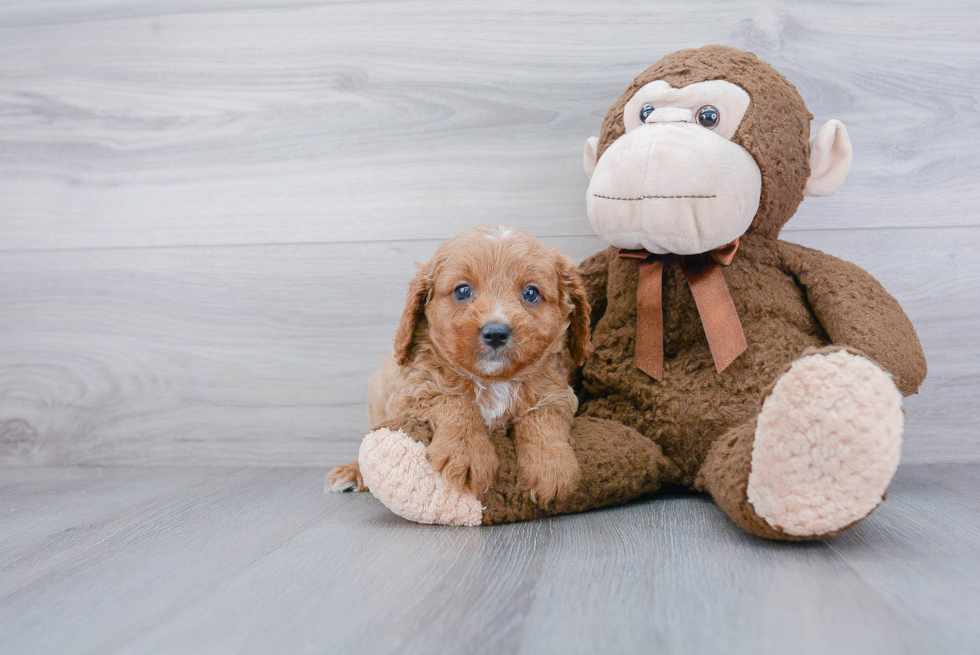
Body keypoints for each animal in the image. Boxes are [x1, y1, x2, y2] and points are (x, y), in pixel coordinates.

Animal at [328, 226, 588, 508]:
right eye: (462, 291)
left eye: (531, 293)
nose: (496, 333)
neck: (493, 381)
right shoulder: (412, 392)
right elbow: (454, 401)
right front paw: (467, 454)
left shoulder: (558, 393)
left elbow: (543, 418)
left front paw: (552, 468)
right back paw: (351, 472)